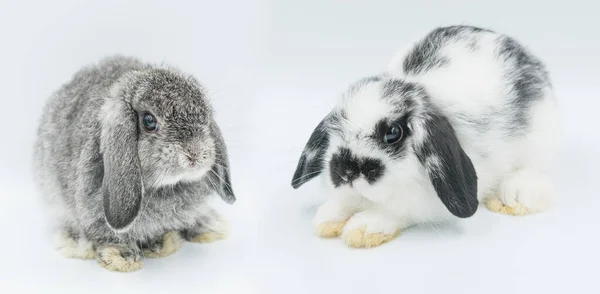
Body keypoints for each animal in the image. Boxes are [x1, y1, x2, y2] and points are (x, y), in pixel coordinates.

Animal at [32, 56, 234, 272]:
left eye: (205, 116)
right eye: (149, 121)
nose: (195, 154)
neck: (161, 188)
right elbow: (108, 236)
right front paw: (124, 258)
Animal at [292, 25, 560, 248]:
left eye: (393, 133)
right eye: (336, 125)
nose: (345, 171)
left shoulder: (423, 203)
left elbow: (396, 210)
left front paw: (364, 228)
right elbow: (345, 202)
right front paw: (327, 218)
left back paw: (513, 198)